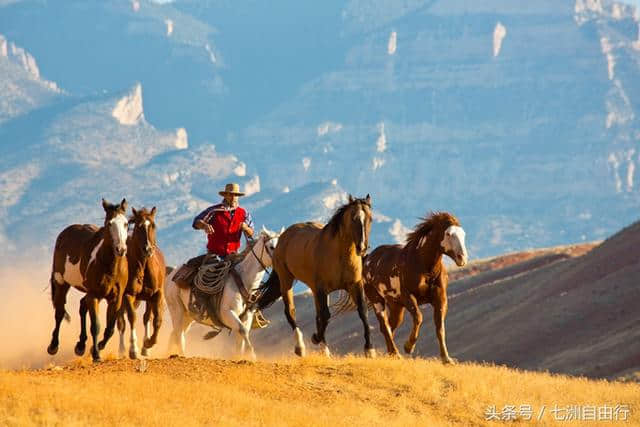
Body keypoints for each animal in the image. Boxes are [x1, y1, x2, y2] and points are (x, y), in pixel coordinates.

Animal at [47, 199, 129, 362]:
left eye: (126, 223)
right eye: (109, 223)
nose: (121, 249)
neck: (109, 266)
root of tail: (65, 232)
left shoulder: (115, 298)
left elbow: (110, 328)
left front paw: (96, 347)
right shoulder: (94, 296)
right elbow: (96, 325)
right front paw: (96, 354)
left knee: (81, 306)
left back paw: (80, 346)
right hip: (61, 282)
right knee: (59, 312)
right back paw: (53, 346)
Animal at [117, 207, 166, 362]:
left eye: (153, 225)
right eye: (138, 227)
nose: (148, 249)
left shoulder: (156, 294)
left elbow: (156, 320)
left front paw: (148, 343)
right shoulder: (128, 295)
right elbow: (132, 318)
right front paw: (133, 350)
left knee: (146, 318)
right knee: (121, 322)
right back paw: (121, 350)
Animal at [166, 227, 282, 362]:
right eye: (271, 247)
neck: (244, 280)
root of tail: (171, 273)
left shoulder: (246, 316)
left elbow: (241, 337)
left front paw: (240, 358)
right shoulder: (227, 314)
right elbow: (242, 331)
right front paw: (252, 355)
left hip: (188, 316)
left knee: (175, 333)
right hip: (177, 311)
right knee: (178, 334)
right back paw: (182, 356)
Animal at [256, 196, 376, 360]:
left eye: (370, 218)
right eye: (354, 218)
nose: (362, 247)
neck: (339, 256)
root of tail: (284, 236)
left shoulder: (354, 285)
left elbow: (362, 311)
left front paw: (369, 349)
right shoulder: (321, 289)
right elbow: (326, 316)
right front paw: (315, 338)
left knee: (317, 315)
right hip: (286, 280)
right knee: (291, 312)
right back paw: (301, 347)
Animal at [338, 212, 468, 362]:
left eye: (463, 234)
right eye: (448, 233)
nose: (462, 258)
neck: (423, 267)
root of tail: (367, 259)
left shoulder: (440, 299)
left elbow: (440, 327)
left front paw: (447, 359)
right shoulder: (408, 297)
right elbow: (418, 318)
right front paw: (408, 347)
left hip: (396, 306)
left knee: (390, 326)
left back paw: (391, 353)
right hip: (377, 301)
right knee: (385, 325)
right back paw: (395, 353)